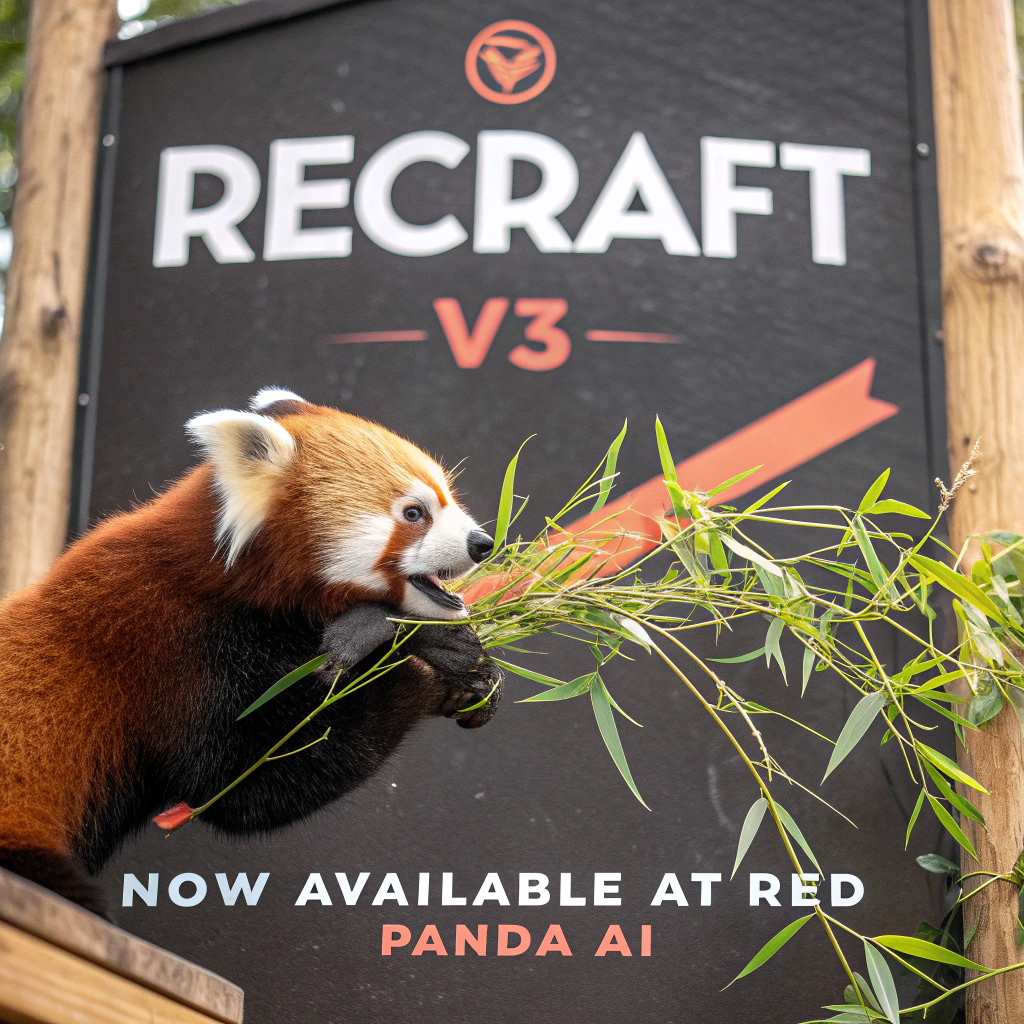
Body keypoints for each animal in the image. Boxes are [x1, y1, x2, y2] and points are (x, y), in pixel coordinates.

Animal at [0, 389, 502, 915]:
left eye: (447, 499)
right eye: (414, 513)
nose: (481, 542)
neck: (227, 580)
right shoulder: (179, 647)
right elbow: (243, 785)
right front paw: (422, 659)